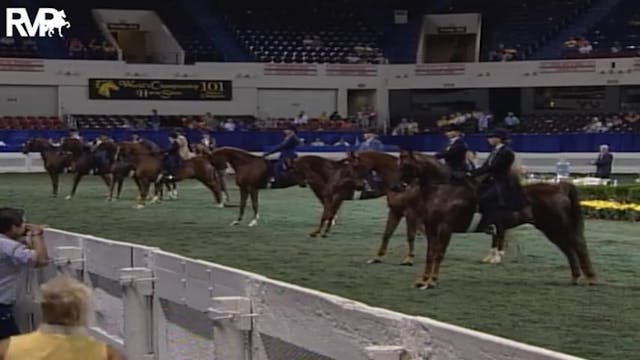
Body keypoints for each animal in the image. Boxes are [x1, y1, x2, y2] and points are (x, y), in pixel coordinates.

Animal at [398, 150, 596, 288]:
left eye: (407, 165)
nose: (397, 187)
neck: (444, 191)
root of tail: (560, 187)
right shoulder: (431, 229)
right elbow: (430, 255)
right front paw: (423, 280)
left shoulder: (445, 229)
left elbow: (438, 254)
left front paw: (432, 282)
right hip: (550, 229)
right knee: (568, 250)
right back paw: (575, 278)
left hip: (558, 227)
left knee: (578, 247)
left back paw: (590, 279)